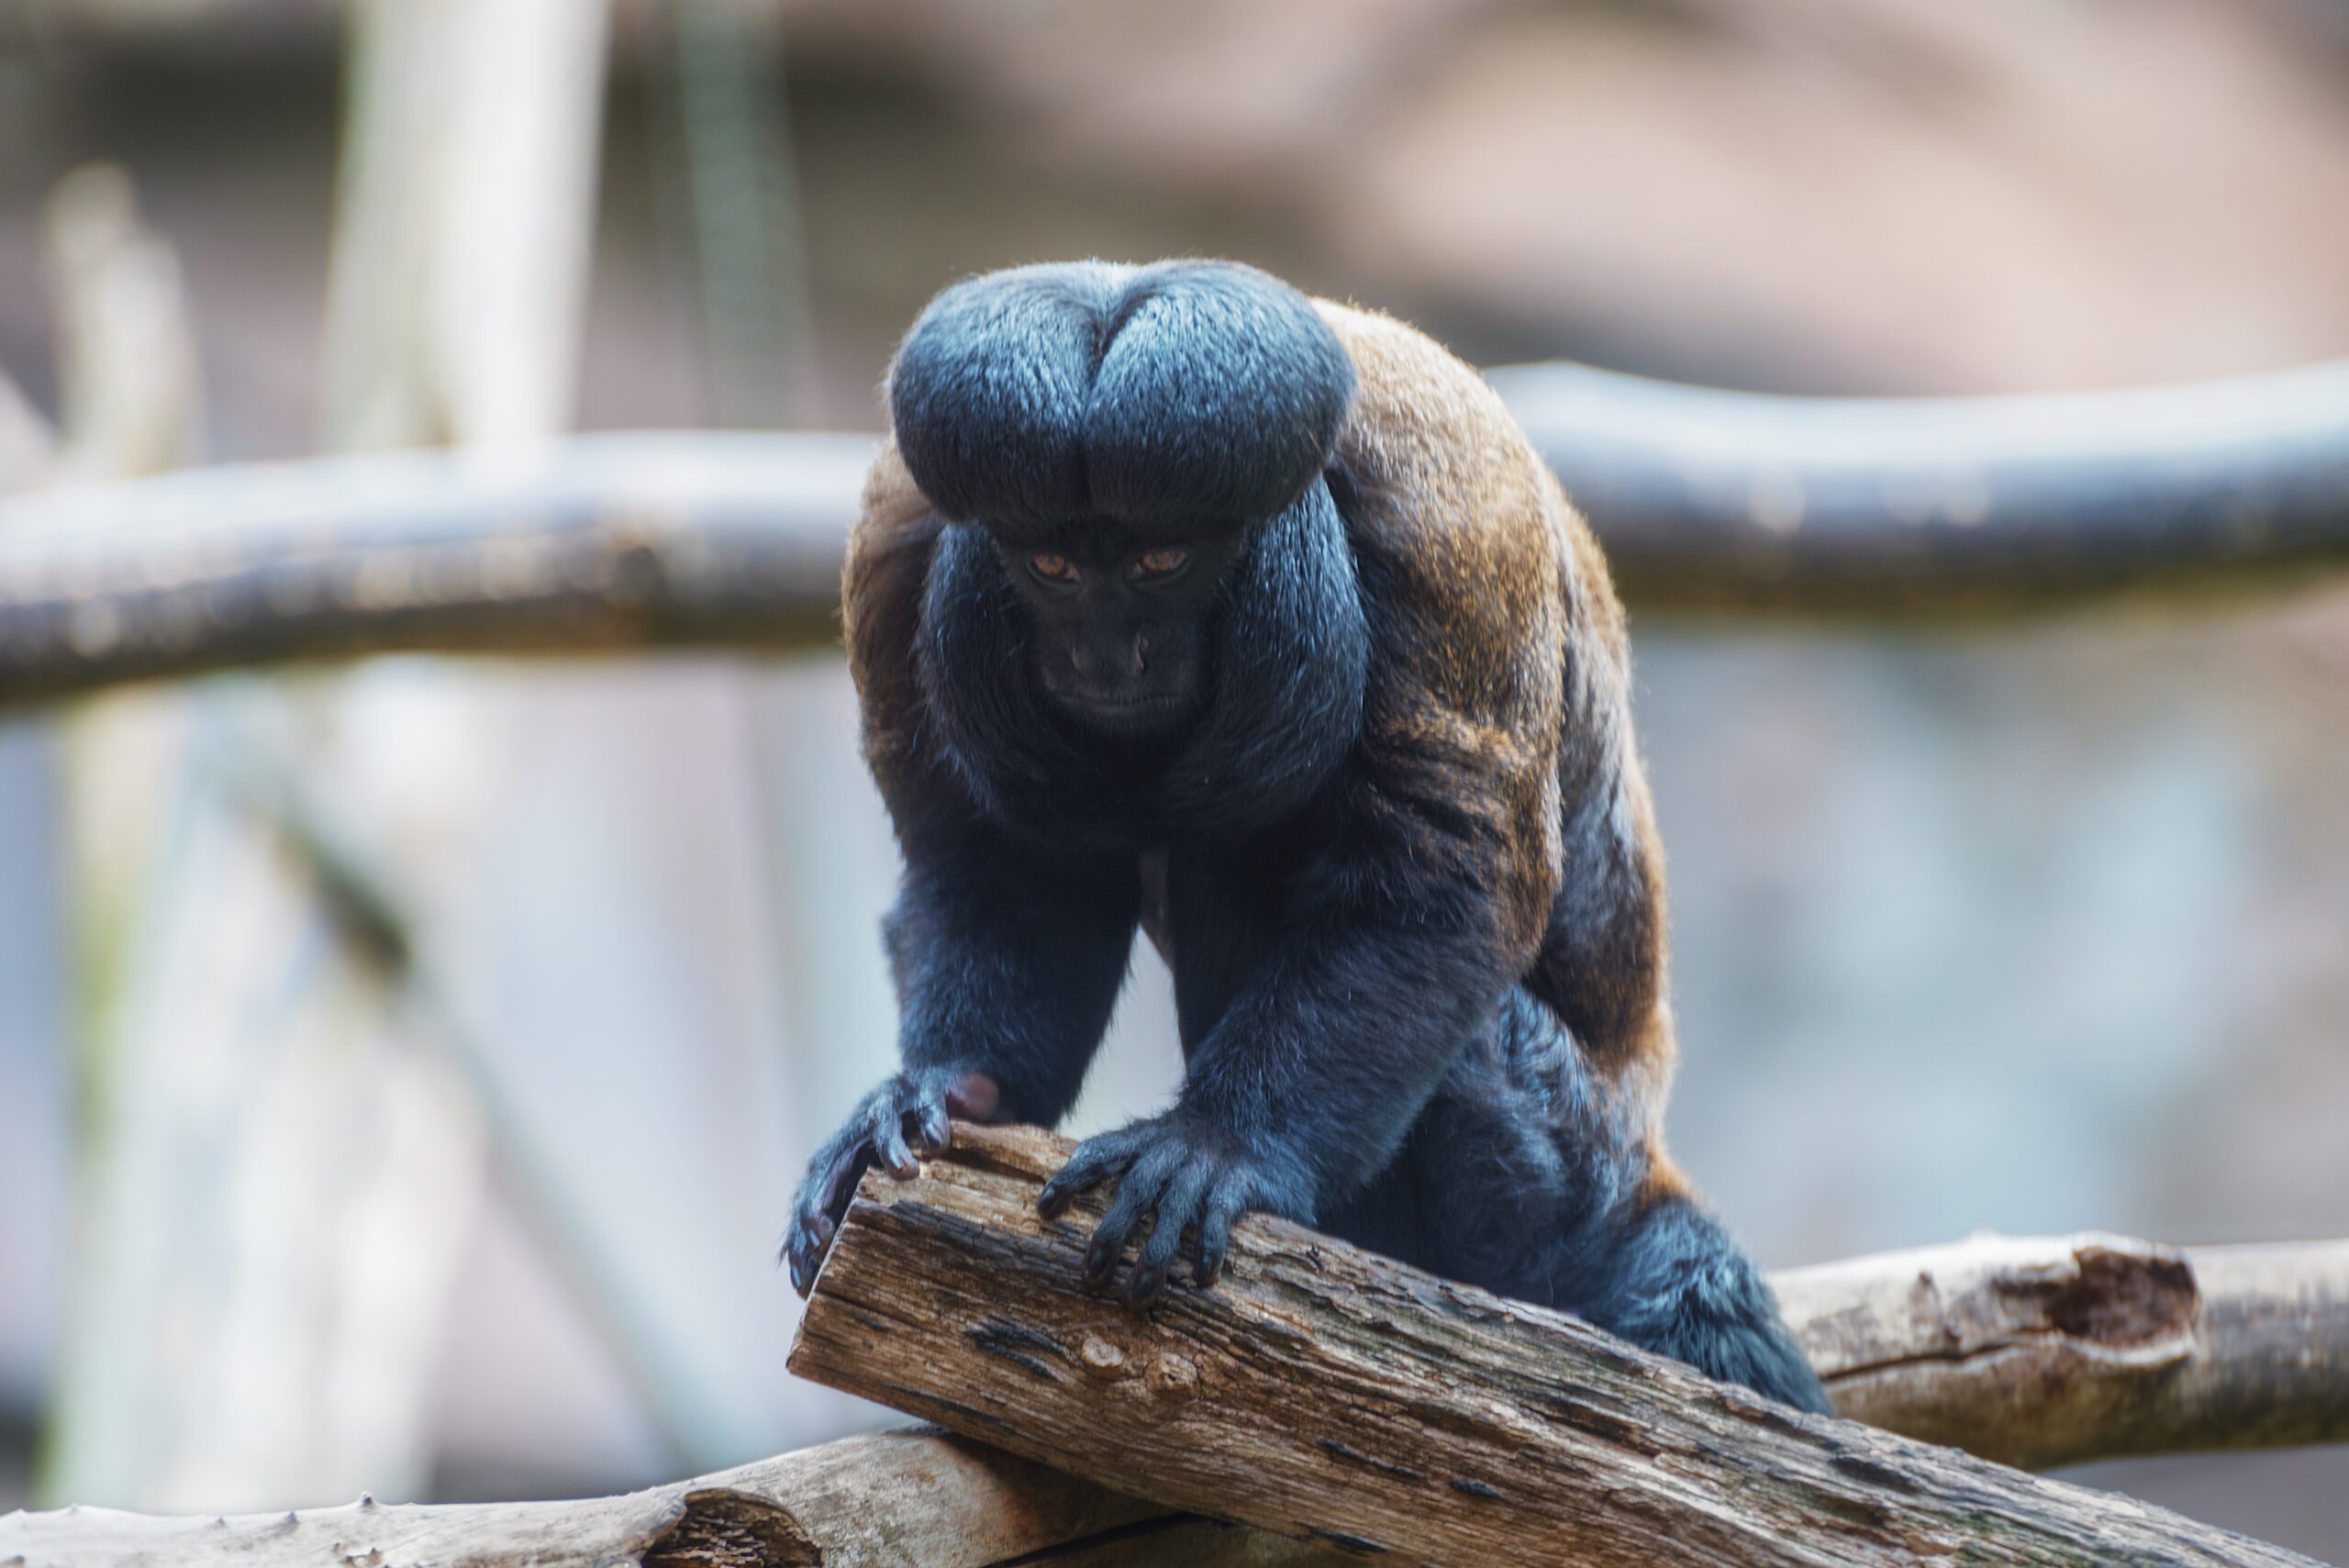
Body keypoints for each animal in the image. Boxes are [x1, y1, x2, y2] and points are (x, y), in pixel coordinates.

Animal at [779, 260, 1822, 1418]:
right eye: (1051, 564)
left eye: (1161, 559)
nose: (1108, 652)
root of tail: (1640, 1164)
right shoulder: (897, 530)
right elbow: (993, 867)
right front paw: (951, 1086)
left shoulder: (1448, 526)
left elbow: (1445, 880)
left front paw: (1220, 1143)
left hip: (1558, 1155)